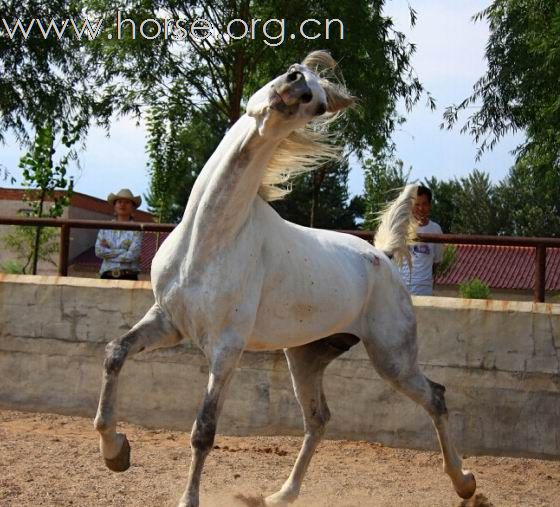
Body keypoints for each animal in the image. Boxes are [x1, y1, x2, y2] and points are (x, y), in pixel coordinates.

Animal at [93, 49, 476, 506]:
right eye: (294, 70)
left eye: (321, 105)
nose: (296, 91)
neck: (210, 237)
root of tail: (382, 258)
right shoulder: (168, 321)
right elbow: (115, 353)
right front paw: (116, 452)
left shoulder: (226, 349)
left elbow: (204, 430)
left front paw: (186, 498)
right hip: (306, 356)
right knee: (319, 419)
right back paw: (281, 494)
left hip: (392, 358)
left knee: (435, 397)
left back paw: (465, 482)